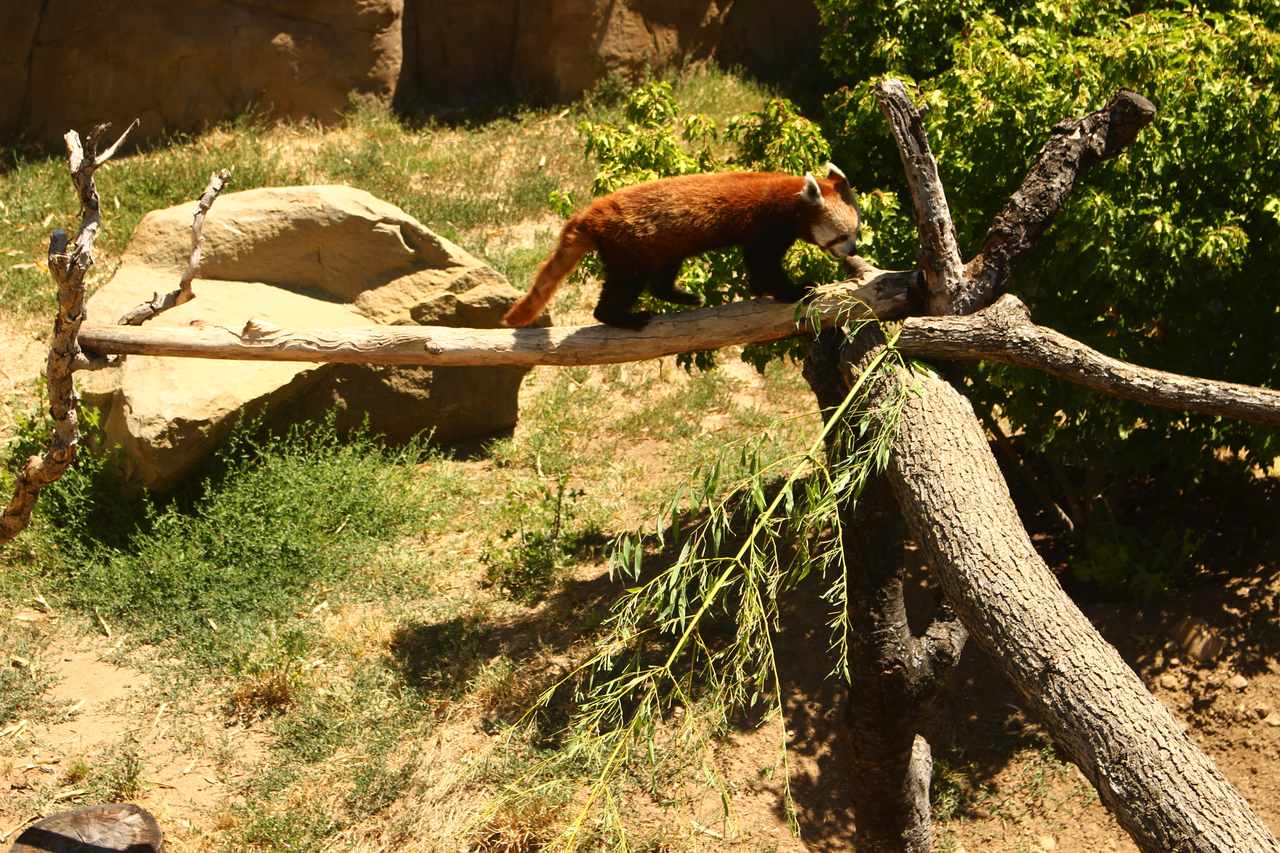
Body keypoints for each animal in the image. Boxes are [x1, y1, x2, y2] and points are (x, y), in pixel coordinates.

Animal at [499, 162, 860, 327]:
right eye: (842, 236)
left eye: (856, 233)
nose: (853, 251)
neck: (791, 198)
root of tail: (592, 212)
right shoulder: (767, 227)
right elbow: (763, 265)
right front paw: (794, 289)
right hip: (628, 248)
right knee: (624, 286)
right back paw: (623, 317)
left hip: (664, 244)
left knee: (660, 277)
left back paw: (682, 296)